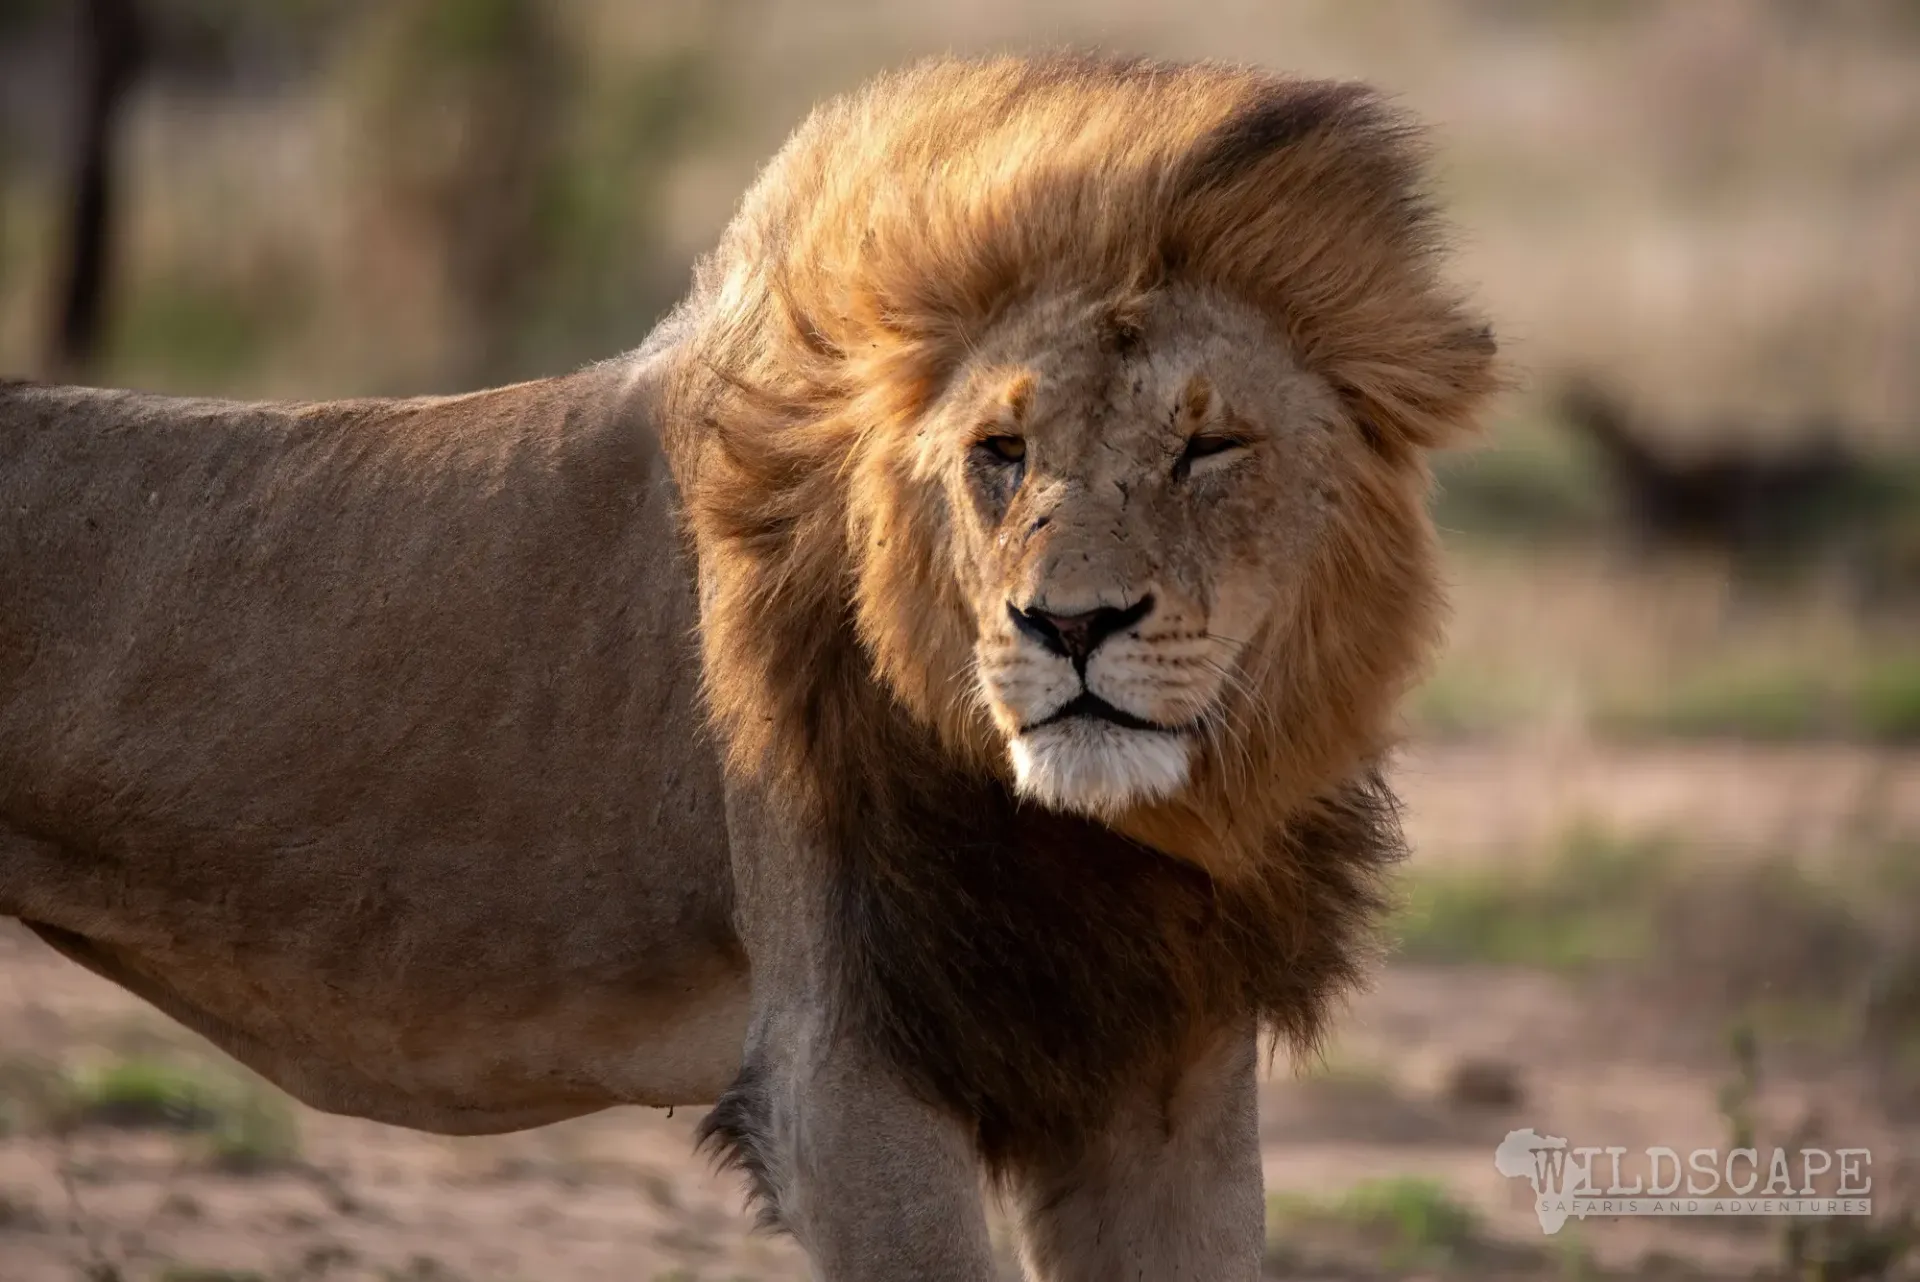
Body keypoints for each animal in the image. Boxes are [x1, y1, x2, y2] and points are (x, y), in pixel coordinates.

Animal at [0, 55, 1495, 1280]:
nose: (1069, 627)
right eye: (999, 452)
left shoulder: (1167, 1073)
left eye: (1209, 446)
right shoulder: (842, 1066)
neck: (1105, 831)